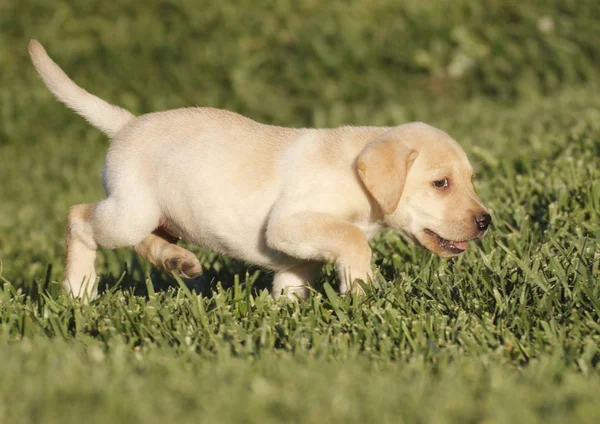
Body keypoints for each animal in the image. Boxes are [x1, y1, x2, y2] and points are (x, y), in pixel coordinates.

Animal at [28, 39, 490, 298]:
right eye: (441, 183)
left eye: (471, 180)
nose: (486, 221)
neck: (356, 177)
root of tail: (126, 123)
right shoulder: (289, 223)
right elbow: (353, 239)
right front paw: (364, 293)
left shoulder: (295, 259)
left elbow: (291, 289)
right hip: (128, 212)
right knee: (79, 218)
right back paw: (79, 290)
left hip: (154, 212)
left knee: (149, 240)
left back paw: (178, 262)